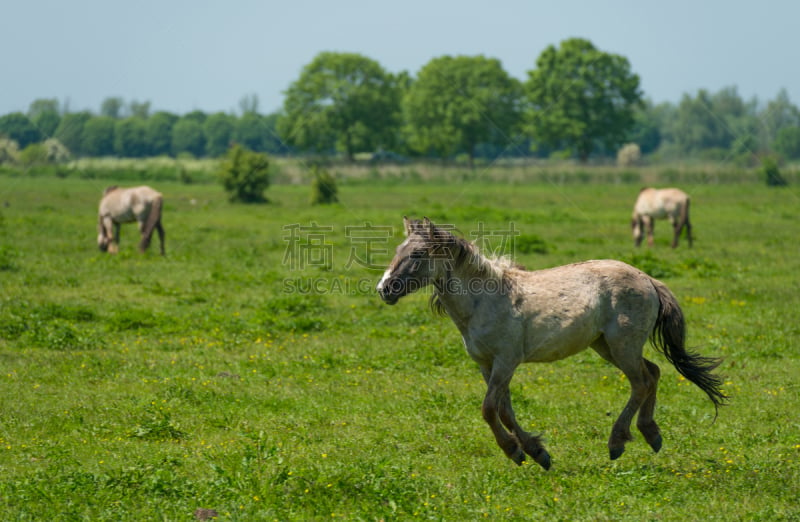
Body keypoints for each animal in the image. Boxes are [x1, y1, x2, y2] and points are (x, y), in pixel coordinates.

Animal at [376, 215, 724, 468]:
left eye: (417, 254)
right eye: (396, 251)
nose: (384, 289)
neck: (485, 301)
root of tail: (648, 279)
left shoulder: (506, 361)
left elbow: (489, 409)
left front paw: (515, 451)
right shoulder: (487, 365)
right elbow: (504, 410)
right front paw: (534, 453)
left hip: (622, 346)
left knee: (641, 382)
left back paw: (617, 443)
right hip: (606, 346)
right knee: (653, 373)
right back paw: (651, 434)